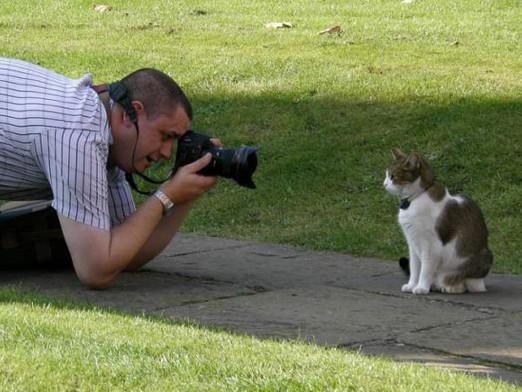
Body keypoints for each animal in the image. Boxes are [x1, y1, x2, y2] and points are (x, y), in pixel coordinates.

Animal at [382, 149, 492, 294]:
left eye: (393, 176)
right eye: (386, 175)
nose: (384, 184)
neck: (416, 198)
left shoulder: (431, 245)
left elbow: (425, 270)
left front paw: (421, 287)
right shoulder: (412, 242)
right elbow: (415, 268)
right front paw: (412, 285)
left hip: (482, 258)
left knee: (472, 284)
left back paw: (451, 286)